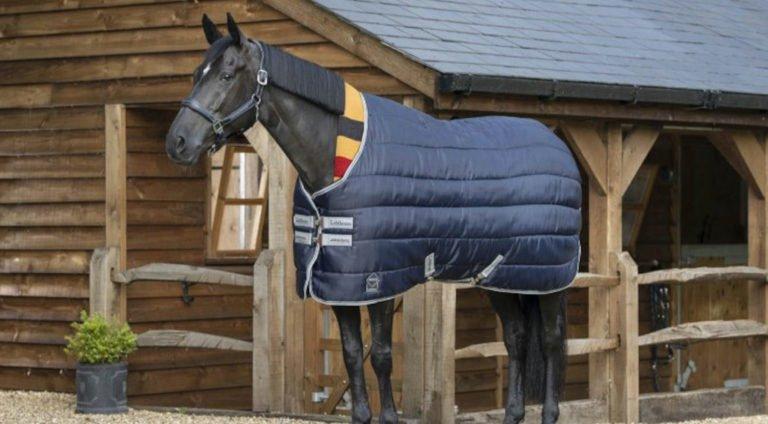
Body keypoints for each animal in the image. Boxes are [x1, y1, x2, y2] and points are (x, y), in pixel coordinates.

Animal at [165, 14, 578, 424]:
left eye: (227, 75)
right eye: (196, 73)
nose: (178, 142)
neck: (337, 163)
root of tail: (557, 146)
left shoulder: (378, 281)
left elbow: (380, 355)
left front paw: (390, 415)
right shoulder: (337, 283)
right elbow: (351, 352)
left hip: (550, 279)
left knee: (551, 341)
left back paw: (550, 412)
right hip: (501, 275)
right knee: (516, 337)